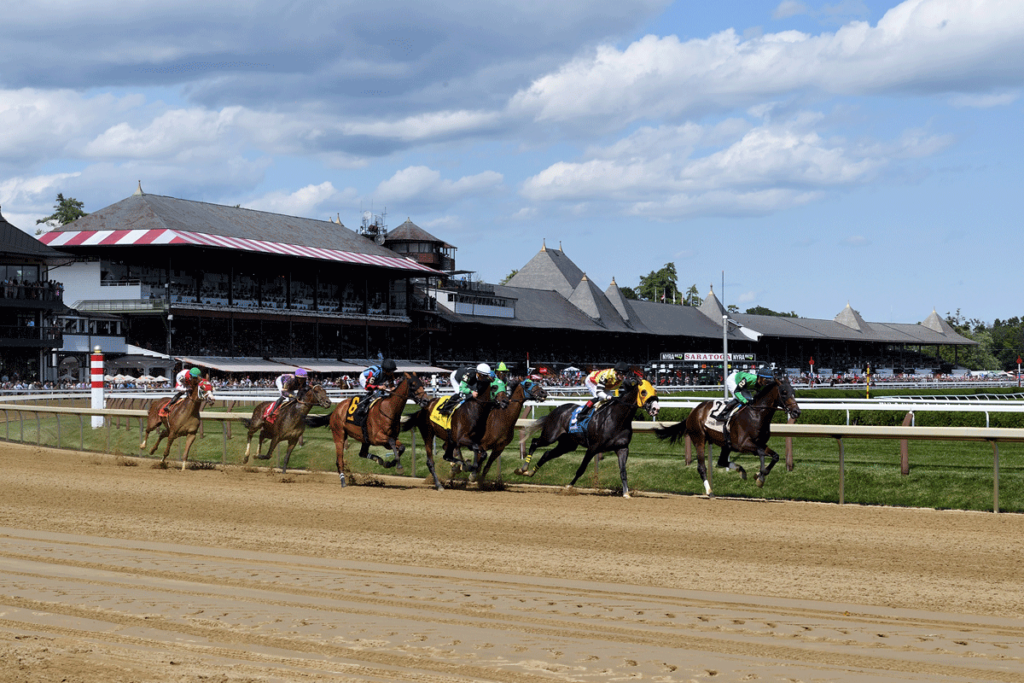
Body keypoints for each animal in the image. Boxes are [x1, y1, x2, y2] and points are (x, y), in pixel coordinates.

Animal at [516, 376, 659, 499]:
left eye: (654, 390)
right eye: (644, 392)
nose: (656, 408)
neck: (617, 419)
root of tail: (557, 410)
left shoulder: (622, 448)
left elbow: (623, 471)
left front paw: (626, 493)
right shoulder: (593, 447)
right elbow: (581, 469)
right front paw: (569, 486)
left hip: (567, 444)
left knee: (547, 454)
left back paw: (531, 472)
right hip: (550, 436)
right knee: (535, 442)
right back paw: (523, 469)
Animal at [655, 368, 798, 497]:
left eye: (793, 392)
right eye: (784, 392)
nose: (797, 412)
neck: (756, 414)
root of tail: (694, 412)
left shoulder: (760, 443)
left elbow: (775, 456)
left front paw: (759, 476)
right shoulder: (742, 445)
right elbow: (761, 452)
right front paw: (760, 477)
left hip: (725, 443)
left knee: (722, 462)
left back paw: (740, 470)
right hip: (699, 438)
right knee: (702, 467)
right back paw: (709, 491)